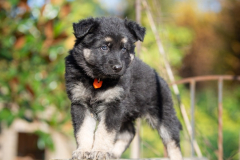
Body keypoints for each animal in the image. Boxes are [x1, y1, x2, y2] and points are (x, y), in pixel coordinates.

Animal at [64, 16, 183, 159]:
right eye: (104, 47)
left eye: (124, 49)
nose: (118, 68)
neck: (98, 79)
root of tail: (158, 77)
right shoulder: (80, 103)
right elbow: (83, 130)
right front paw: (83, 151)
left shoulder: (114, 104)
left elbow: (105, 131)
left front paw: (100, 151)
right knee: (129, 132)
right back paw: (113, 153)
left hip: (163, 113)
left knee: (172, 139)